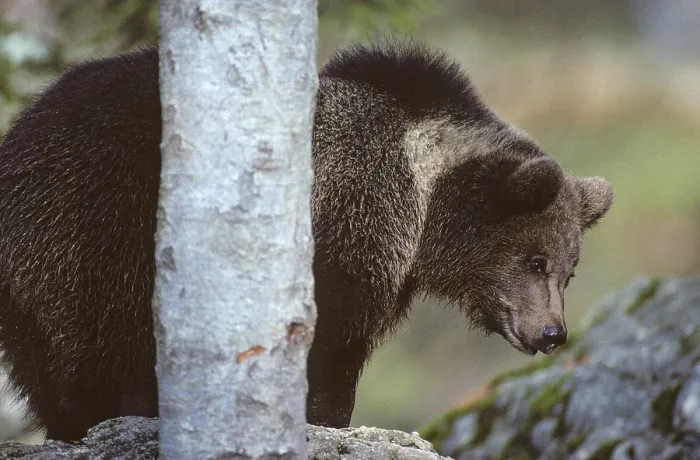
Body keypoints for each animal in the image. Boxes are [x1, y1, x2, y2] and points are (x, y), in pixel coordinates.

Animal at [0, 39, 613, 440]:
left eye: (569, 270)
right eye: (534, 261)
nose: (552, 332)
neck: (423, 200)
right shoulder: (351, 220)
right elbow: (331, 341)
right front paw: (322, 417)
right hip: (102, 223)